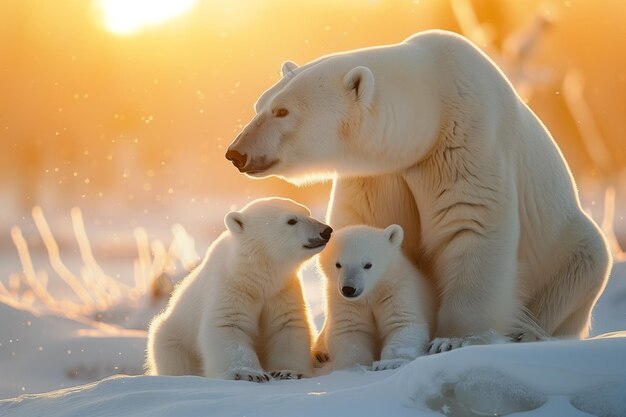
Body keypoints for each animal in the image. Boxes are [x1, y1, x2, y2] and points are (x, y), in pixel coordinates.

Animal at [225, 30, 608, 348]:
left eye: (282, 111)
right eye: (259, 105)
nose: (236, 153)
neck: (433, 107)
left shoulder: (470, 141)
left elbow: (471, 225)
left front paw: (452, 339)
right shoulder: (378, 172)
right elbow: (365, 225)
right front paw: (324, 345)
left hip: (571, 250)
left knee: (582, 268)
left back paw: (528, 332)